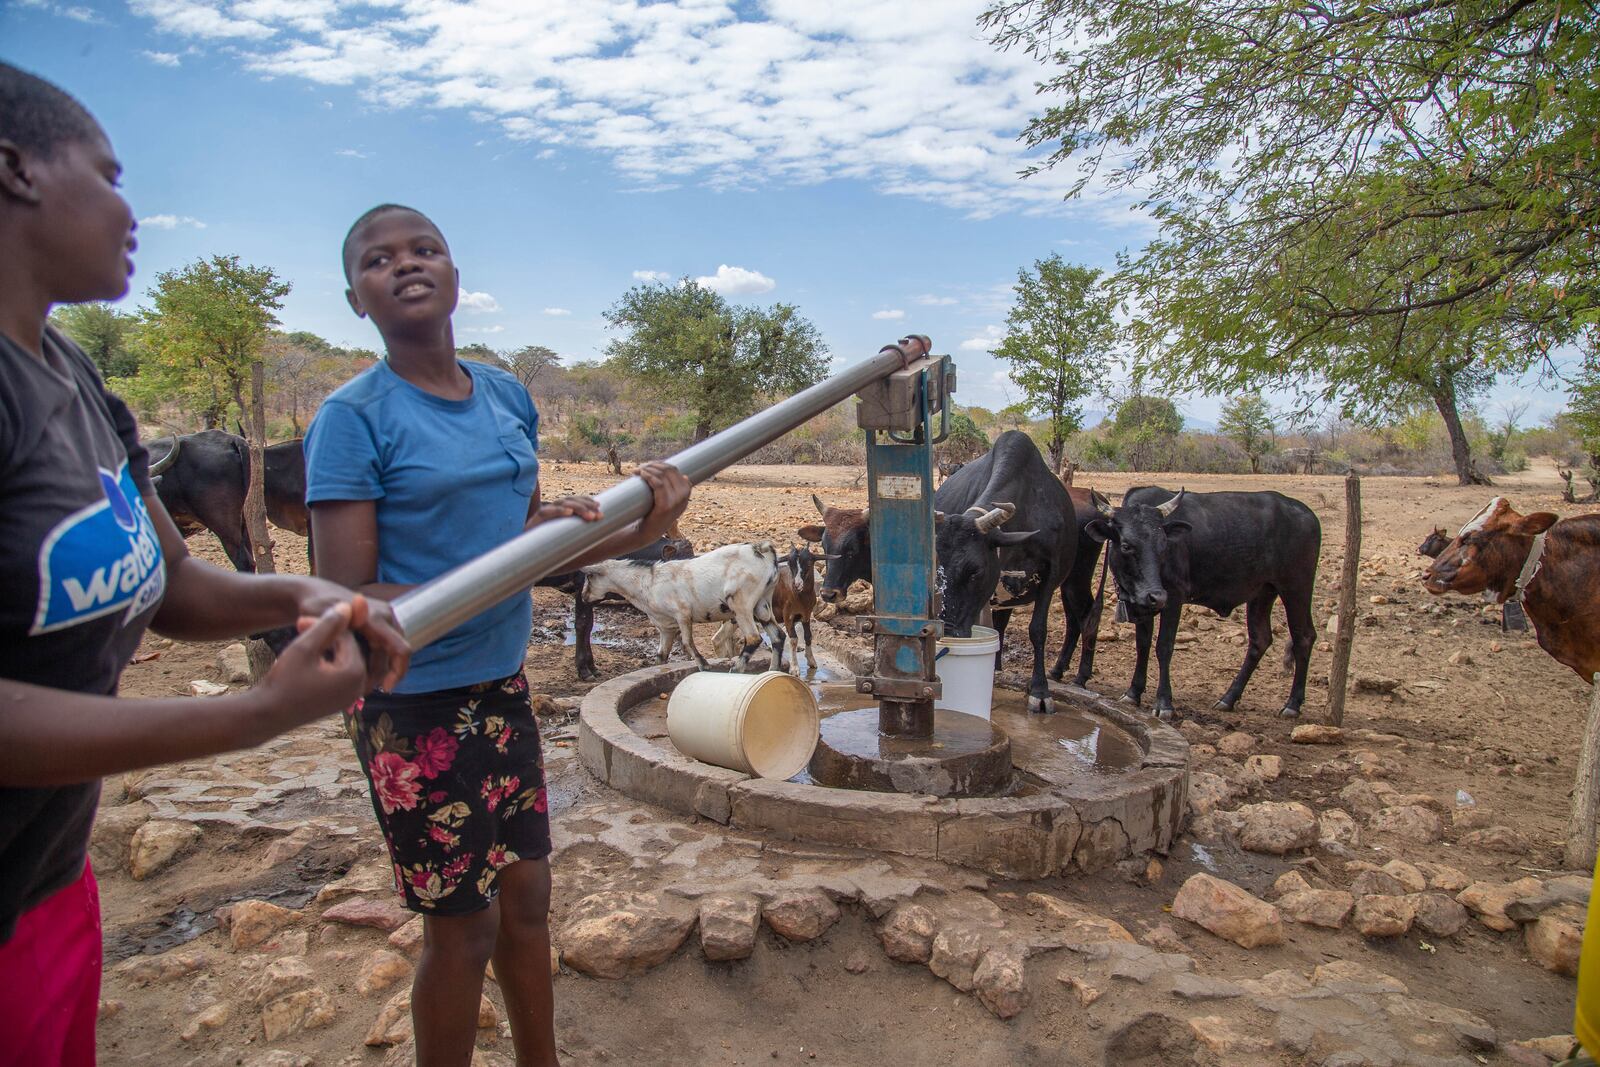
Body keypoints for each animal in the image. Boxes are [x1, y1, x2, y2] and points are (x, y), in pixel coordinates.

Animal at [585, 543, 790, 675]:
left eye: (589, 577)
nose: (584, 597)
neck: (648, 580)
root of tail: (762, 551)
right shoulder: (666, 627)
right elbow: (661, 655)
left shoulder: (682, 613)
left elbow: (686, 642)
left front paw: (704, 666)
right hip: (762, 604)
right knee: (778, 636)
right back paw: (772, 671)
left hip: (741, 604)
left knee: (753, 637)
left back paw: (736, 669)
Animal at [934, 428, 1075, 713]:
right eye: (937, 569)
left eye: (974, 571)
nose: (948, 633)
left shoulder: (1051, 575)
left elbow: (1038, 630)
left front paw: (1040, 691)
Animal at [1088, 489, 1324, 723]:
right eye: (1126, 546)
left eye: (1163, 545)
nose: (1157, 595)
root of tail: (1307, 513)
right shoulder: (1142, 604)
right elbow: (1142, 645)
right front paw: (1133, 693)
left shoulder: (1174, 597)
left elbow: (1164, 647)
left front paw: (1164, 703)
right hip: (1263, 592)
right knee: (1260, 640)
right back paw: (1228, 698)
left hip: (1296, 587)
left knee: (1304, 637)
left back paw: (1292, 704)